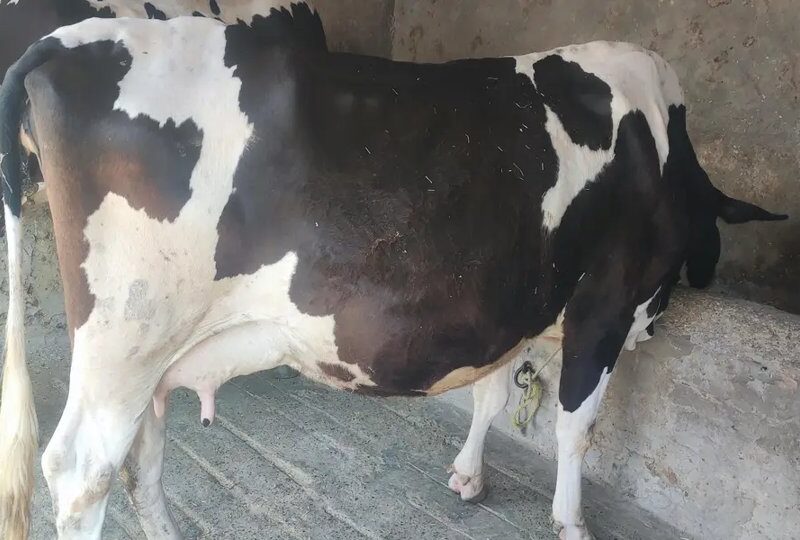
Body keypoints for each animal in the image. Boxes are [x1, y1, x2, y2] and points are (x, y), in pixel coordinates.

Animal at [0, 10, 787, 540]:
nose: (663, 319)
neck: (660, 142)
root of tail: (73, 37)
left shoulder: (515, 303)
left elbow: (490, 394)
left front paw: (469, 473)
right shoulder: (606, 301)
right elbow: (575, 427)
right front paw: (571, 521)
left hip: (149, 350)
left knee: (142, 455)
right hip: (126, 336)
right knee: (81, 471)